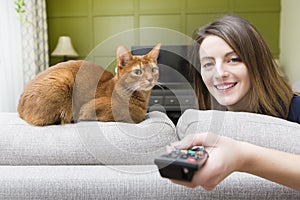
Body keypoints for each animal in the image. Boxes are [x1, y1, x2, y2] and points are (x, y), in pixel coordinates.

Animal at [17, 44, 161, 126]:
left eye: (153, 70)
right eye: (138, 72)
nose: (150, 79)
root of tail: (19, 109)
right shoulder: (89, 109)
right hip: (63, 77)